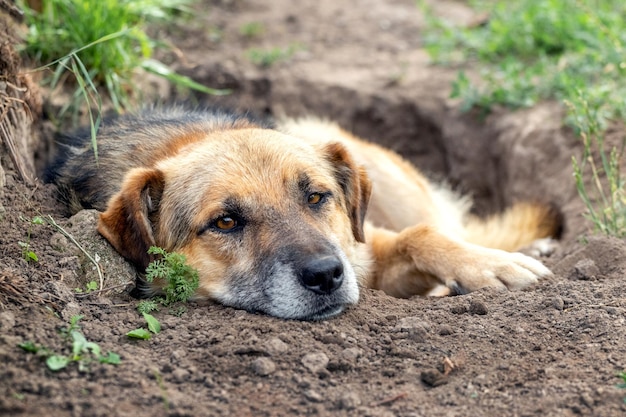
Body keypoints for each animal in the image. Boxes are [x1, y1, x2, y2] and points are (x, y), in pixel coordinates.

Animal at [46, 106, 560, 318]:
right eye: (225, 222)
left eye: (316, 197)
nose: (327, 276)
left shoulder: (363, 247)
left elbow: (421, 235)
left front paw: (492, 266)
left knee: (444, 220)